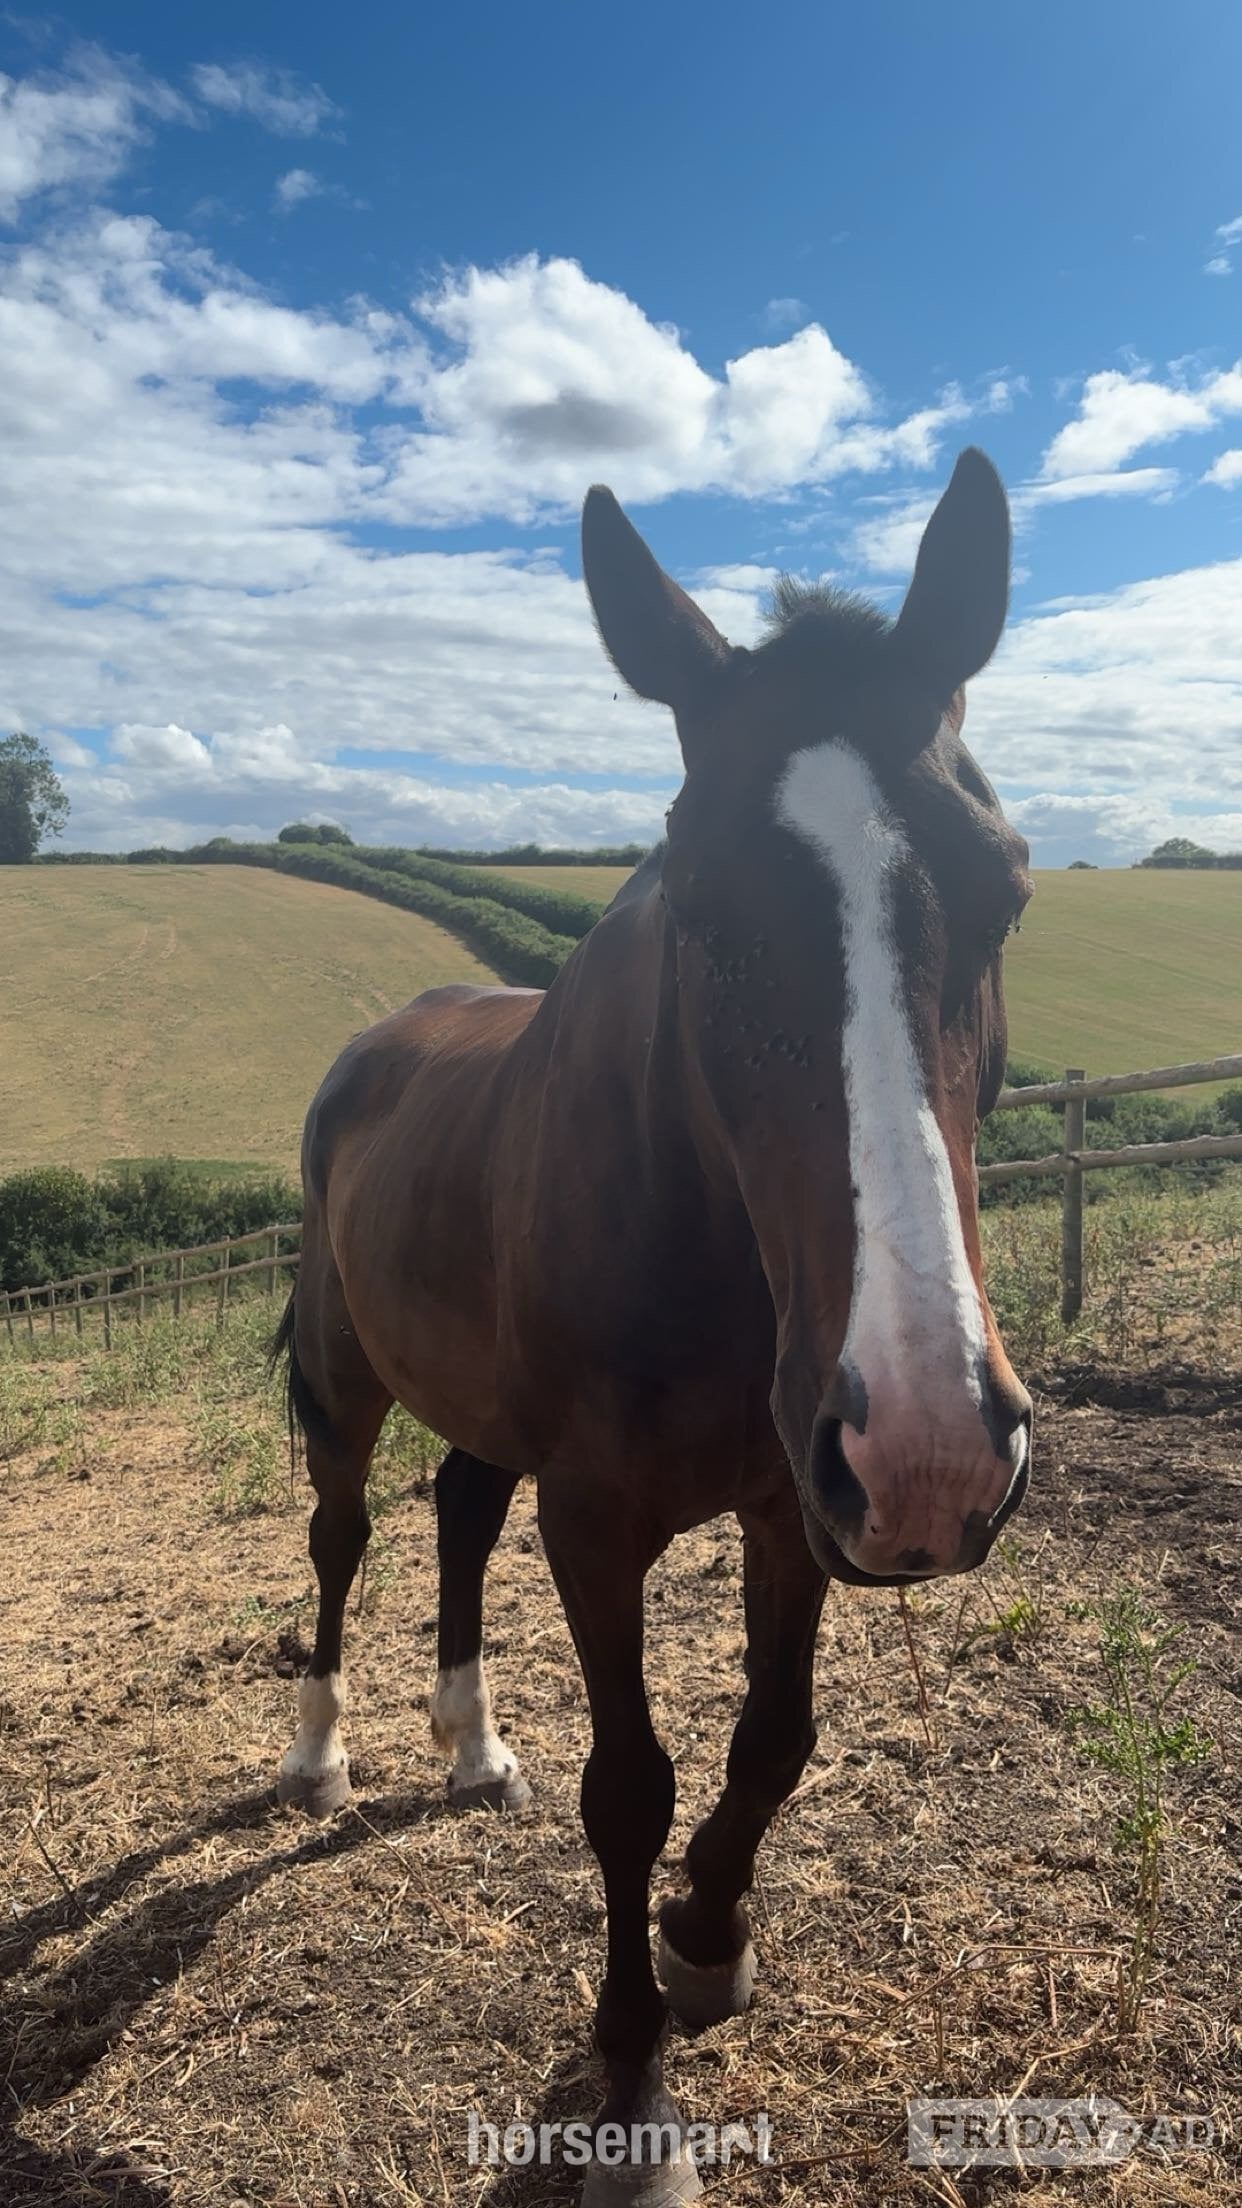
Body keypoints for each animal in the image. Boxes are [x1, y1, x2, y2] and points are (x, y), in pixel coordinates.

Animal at [271, 446, 1033, 2204]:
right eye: (698, 904)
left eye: (1005, 889)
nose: (935, 1448)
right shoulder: (600, 1519)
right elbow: (630, 1783)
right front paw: (627, 2079)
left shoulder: (789, 1500)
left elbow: (772, 1739)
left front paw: (704, 1932)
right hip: (346, 1384)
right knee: (344, 1536)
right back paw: (322, 1750)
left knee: (456, 1509)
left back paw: (470, 1745)